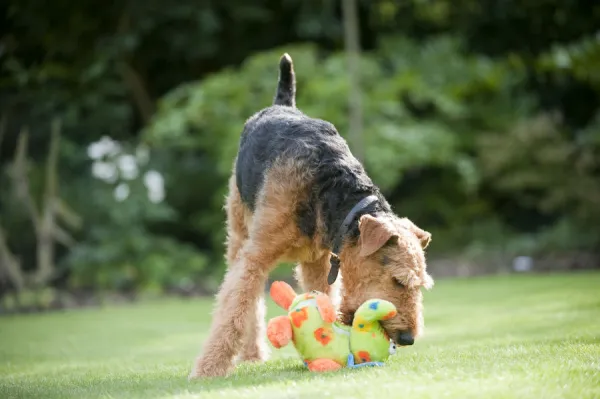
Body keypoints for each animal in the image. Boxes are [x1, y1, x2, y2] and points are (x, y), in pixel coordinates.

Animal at [190, 54, 434, 382]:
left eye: (420, 285)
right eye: (398, 280)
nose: (408, 338)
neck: (334, 192)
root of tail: (282, 105)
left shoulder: (319, 263)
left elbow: (322, 298)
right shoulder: (256, 256)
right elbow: (233, 310)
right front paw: (209, 368)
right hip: (240, 233)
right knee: (246, 300)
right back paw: (251, 354)